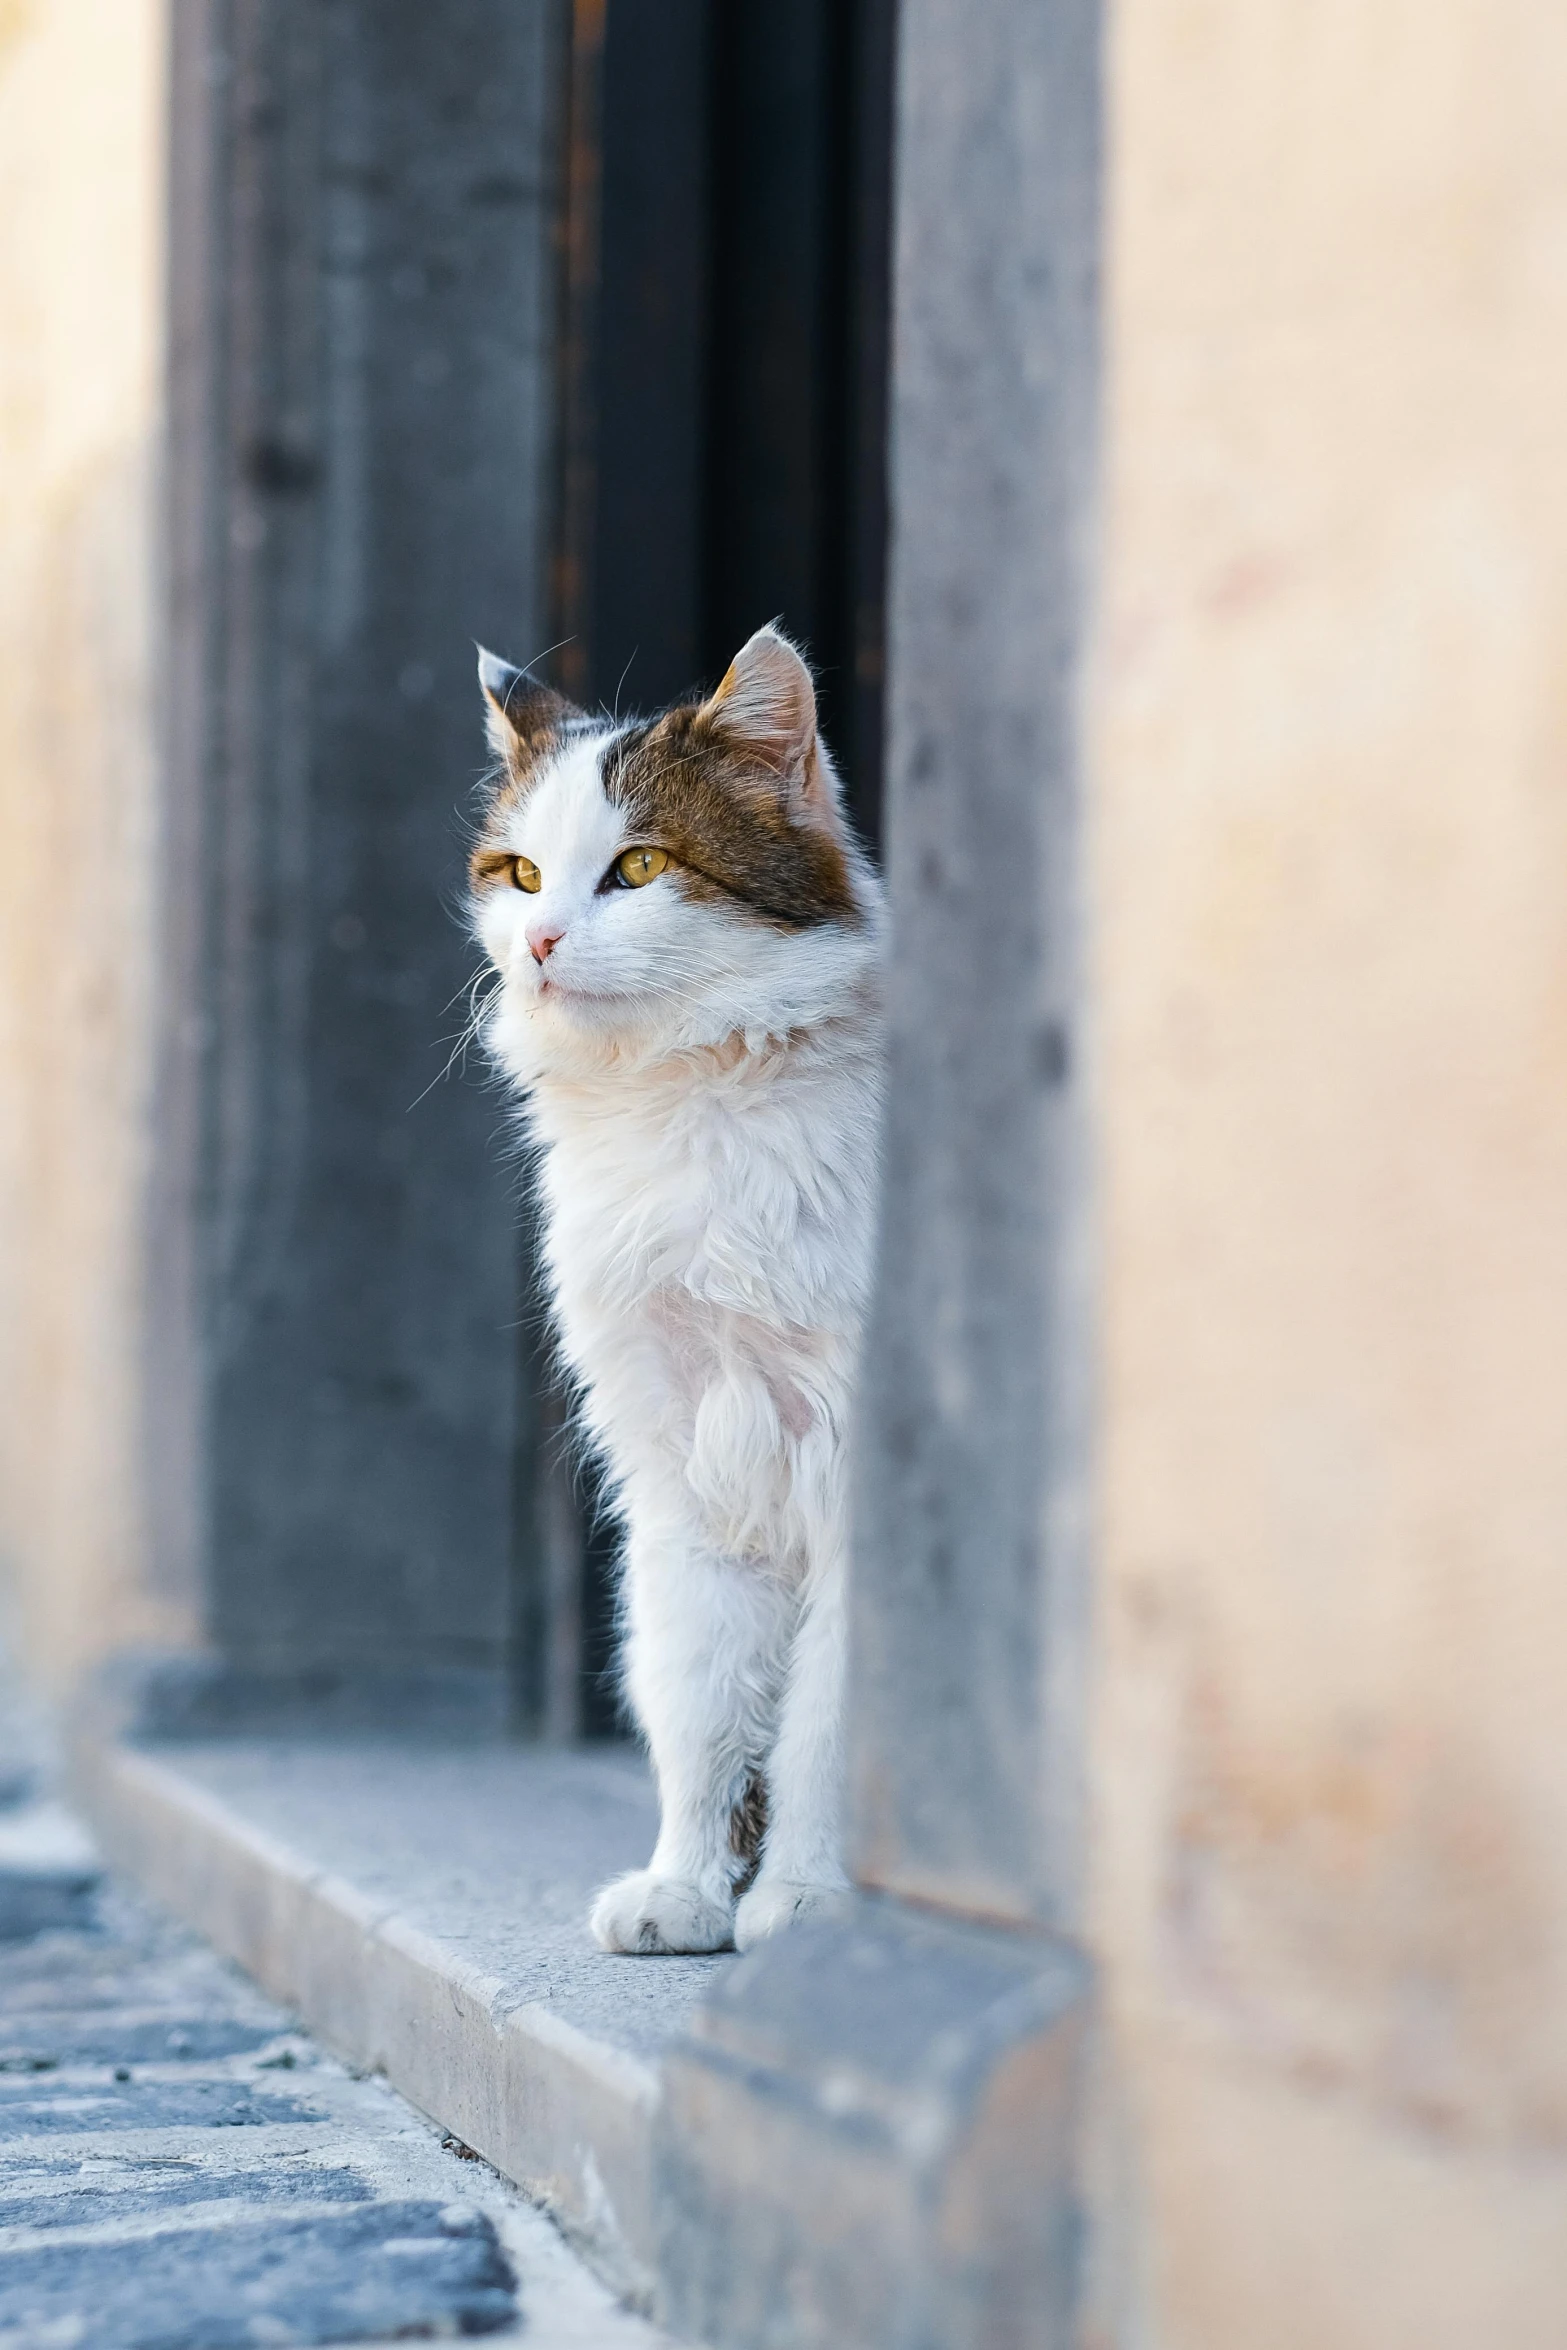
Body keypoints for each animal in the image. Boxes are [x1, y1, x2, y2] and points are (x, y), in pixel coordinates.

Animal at [465, 620, 888, 1945]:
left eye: (640, 867)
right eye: (521, 876)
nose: (541, 945)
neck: (689, 1105)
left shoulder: (849, 1476)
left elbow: (820, 1724)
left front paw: (805, 1896)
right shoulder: (679, 1462)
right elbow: (701, 1702)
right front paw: (687, 1887)